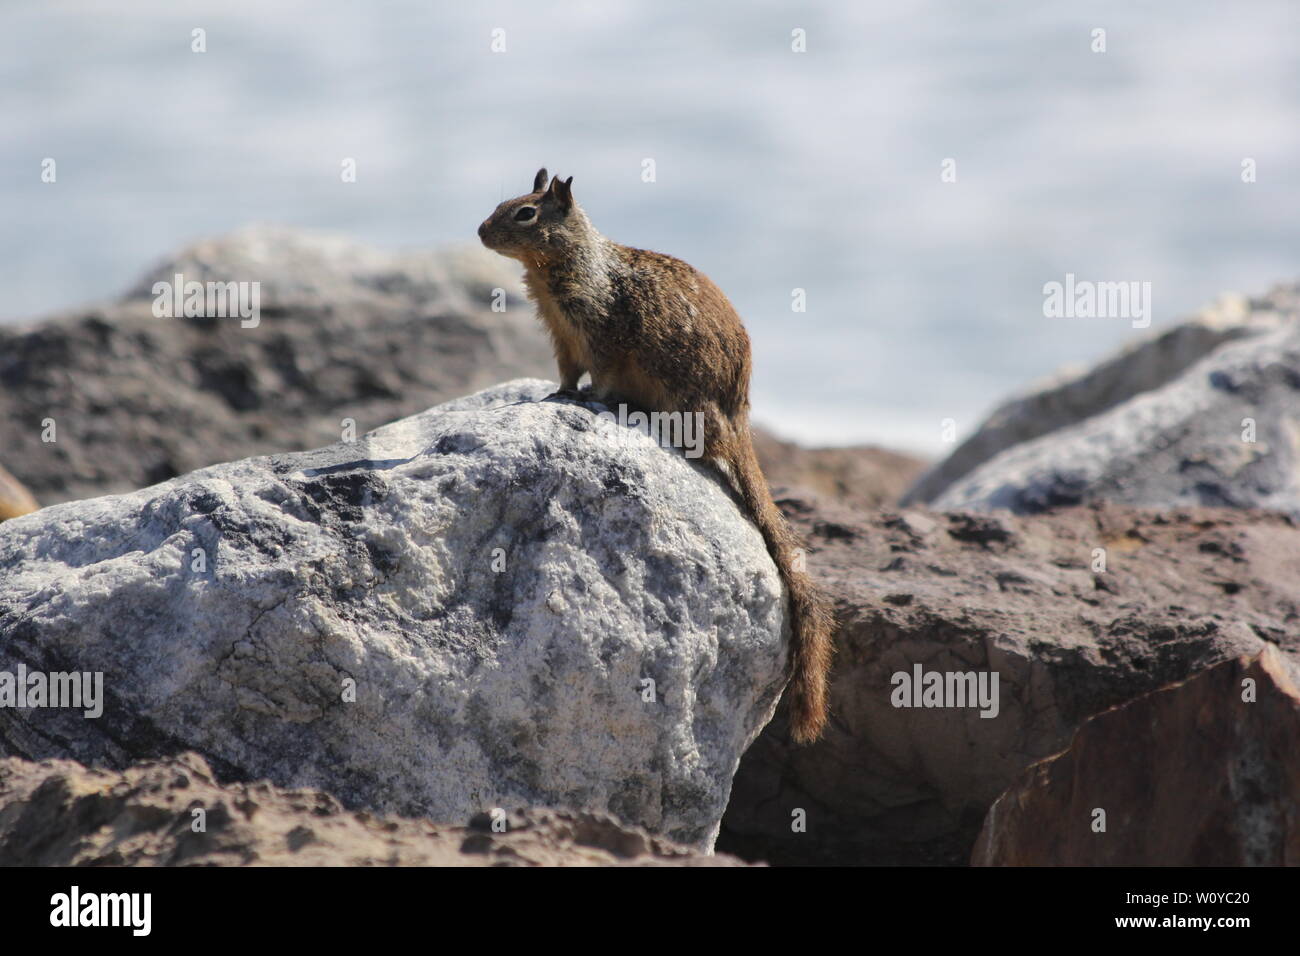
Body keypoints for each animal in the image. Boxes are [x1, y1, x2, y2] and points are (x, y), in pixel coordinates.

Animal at [478, 168, 832, 743]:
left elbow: (599, 375)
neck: (573, 264)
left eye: (525, 213)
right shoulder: (562, 337)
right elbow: (566, 373)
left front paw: (591, 399)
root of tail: (739, 414)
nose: (481, 231)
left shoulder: (600, 334)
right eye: (503, 203)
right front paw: (559, 394)